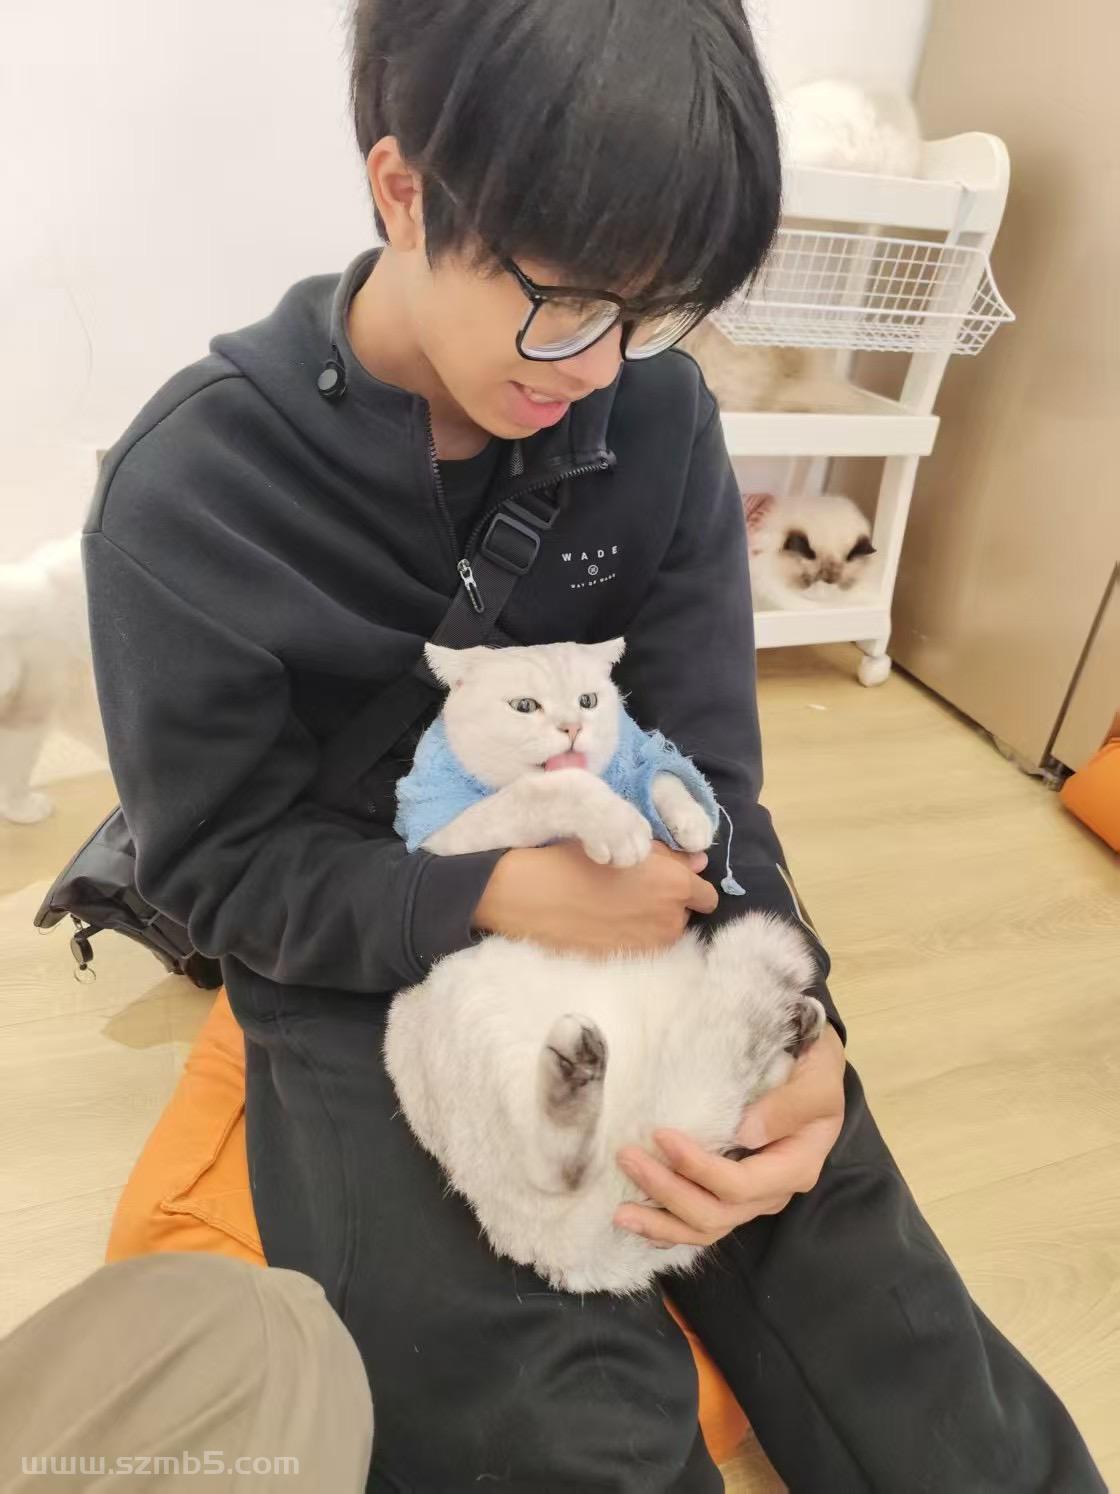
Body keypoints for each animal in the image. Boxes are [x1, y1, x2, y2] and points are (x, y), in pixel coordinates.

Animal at [383, 639, 824, 1295]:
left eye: (589, 700)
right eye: (525, 706)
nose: (572, 727)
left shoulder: (639, 759)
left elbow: (662, 774)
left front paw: (689, 821)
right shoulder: (441, 835)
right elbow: (546, 793)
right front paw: (618, 826)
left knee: (732, 1113)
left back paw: (796, 1028)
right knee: (555, 1169)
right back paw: (576, 1074)